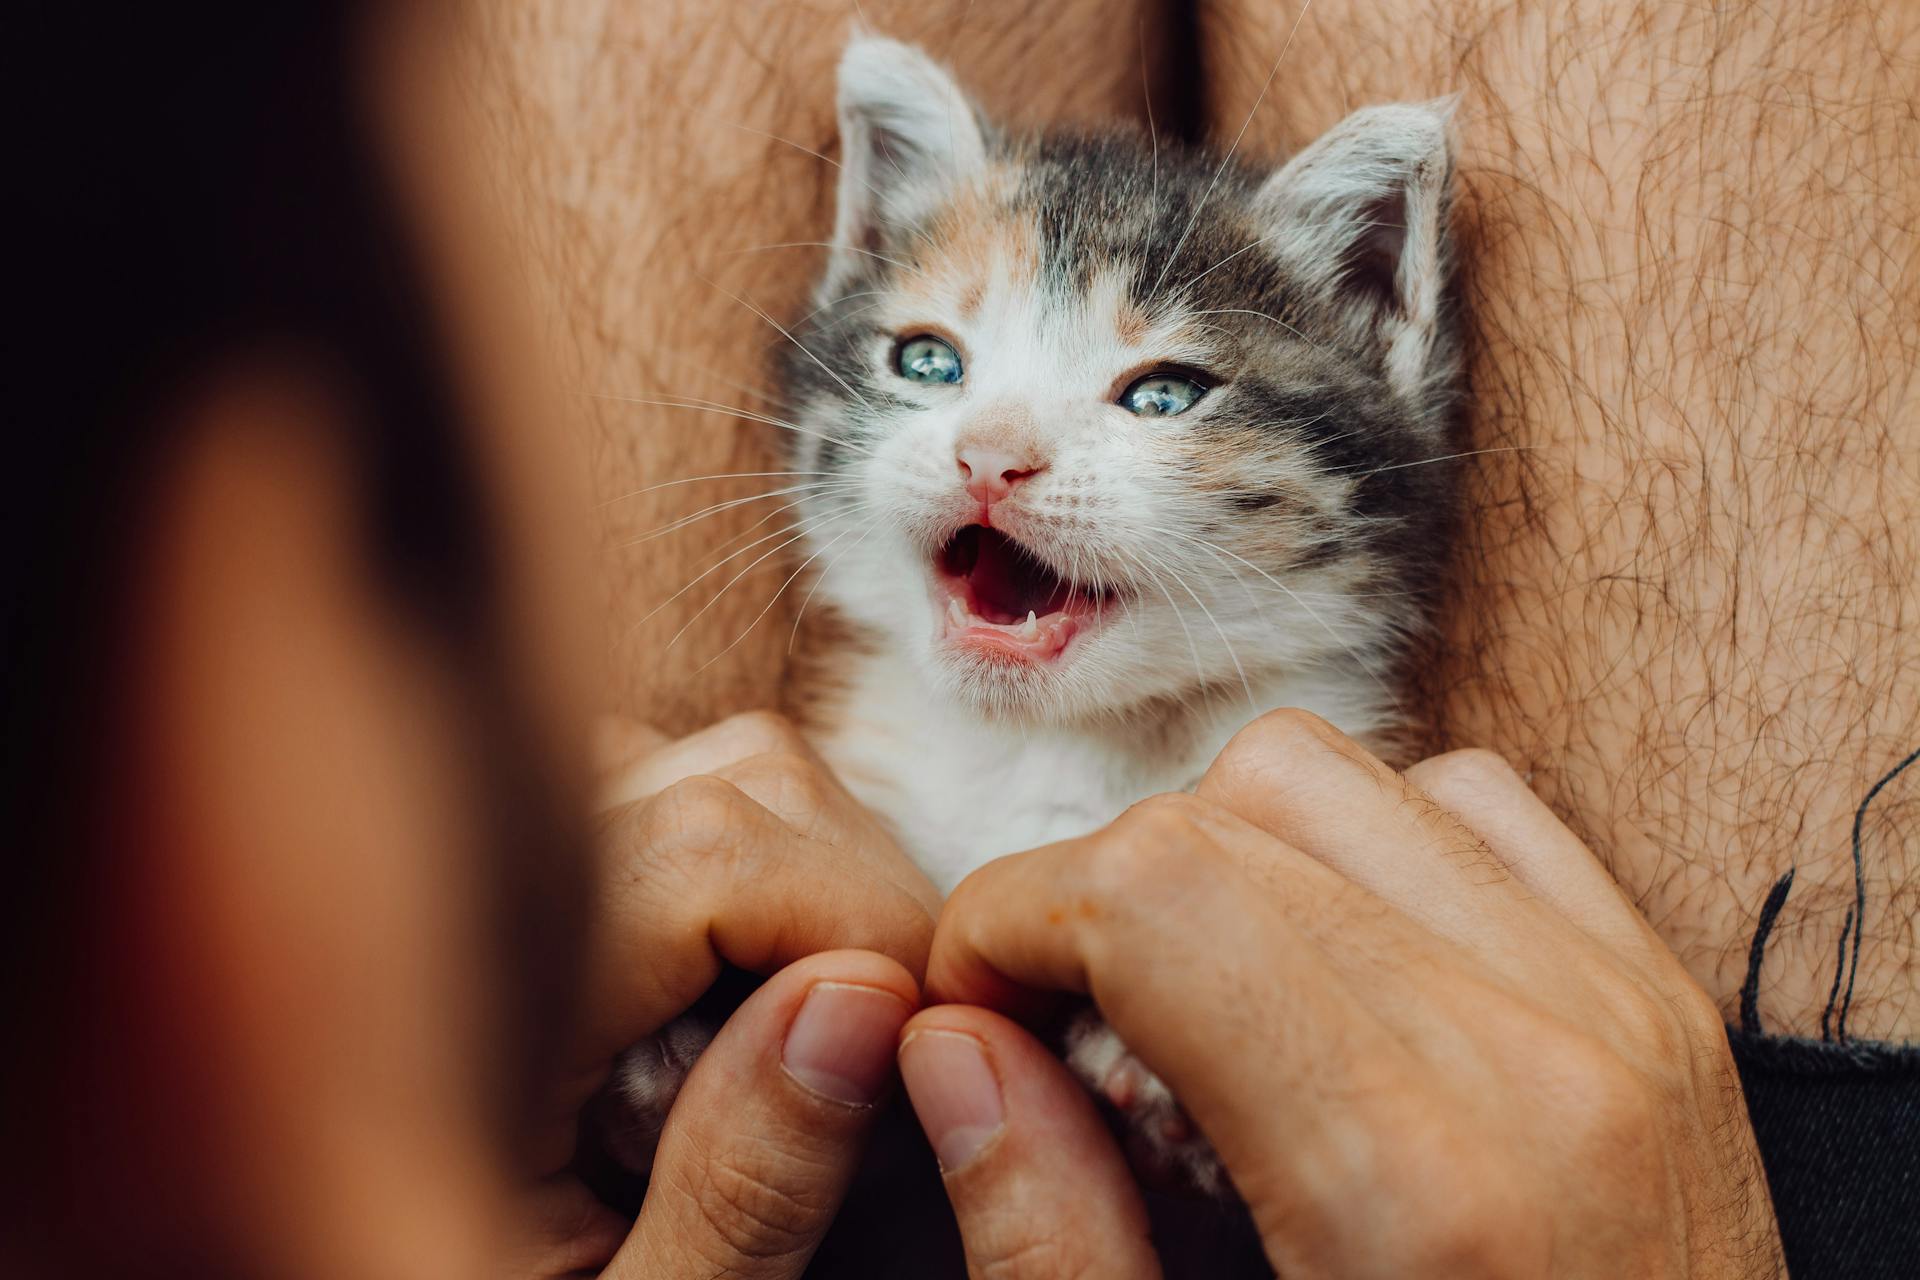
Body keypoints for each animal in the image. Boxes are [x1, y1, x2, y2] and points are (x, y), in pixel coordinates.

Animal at [614, 35, 1451, 1205]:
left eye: (1162, 396)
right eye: (927, 362)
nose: (989, 456)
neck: (1043, 744)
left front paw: (1156, 1063)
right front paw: (681, 1029)